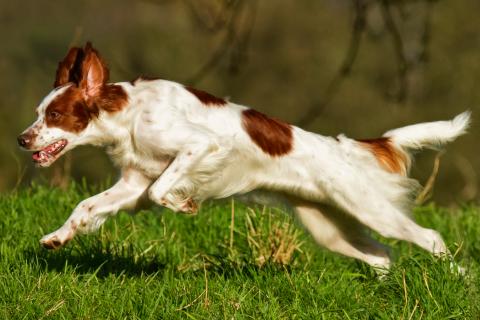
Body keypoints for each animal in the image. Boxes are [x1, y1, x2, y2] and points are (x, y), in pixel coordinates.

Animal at [17, 43, 468, 272]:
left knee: (430, 237)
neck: (127, 114)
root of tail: (346, 145)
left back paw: (456, 277)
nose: (22, 139)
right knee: (383, 255)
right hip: (330, 228)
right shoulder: (132, 183)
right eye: (38, 113)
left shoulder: (200, 146)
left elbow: (163, 188)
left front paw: (184, 204)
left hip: (372, 210)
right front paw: (57, 237)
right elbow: (86, 206)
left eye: (55, 116)